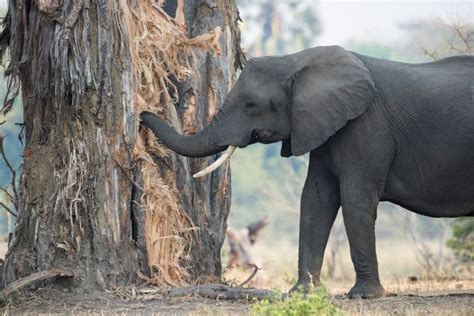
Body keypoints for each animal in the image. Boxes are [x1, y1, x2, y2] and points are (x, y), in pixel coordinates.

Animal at [141, 45, 474, 298]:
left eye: (251, 105)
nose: (143, 114)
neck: (297, 61)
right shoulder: (321, 125)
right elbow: (316, 198)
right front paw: (302, 293)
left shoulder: (367, 125)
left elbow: (354, 198)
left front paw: (363, 296)